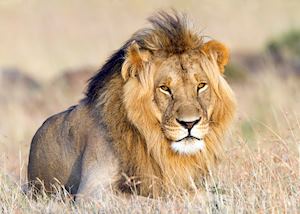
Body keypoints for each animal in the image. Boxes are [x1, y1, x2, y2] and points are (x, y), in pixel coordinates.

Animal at [27, 11, 237, 199]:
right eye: (165, 88)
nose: (189, 123)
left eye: (201, 86)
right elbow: (165, 196)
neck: (153, 142)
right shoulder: (92, 193)